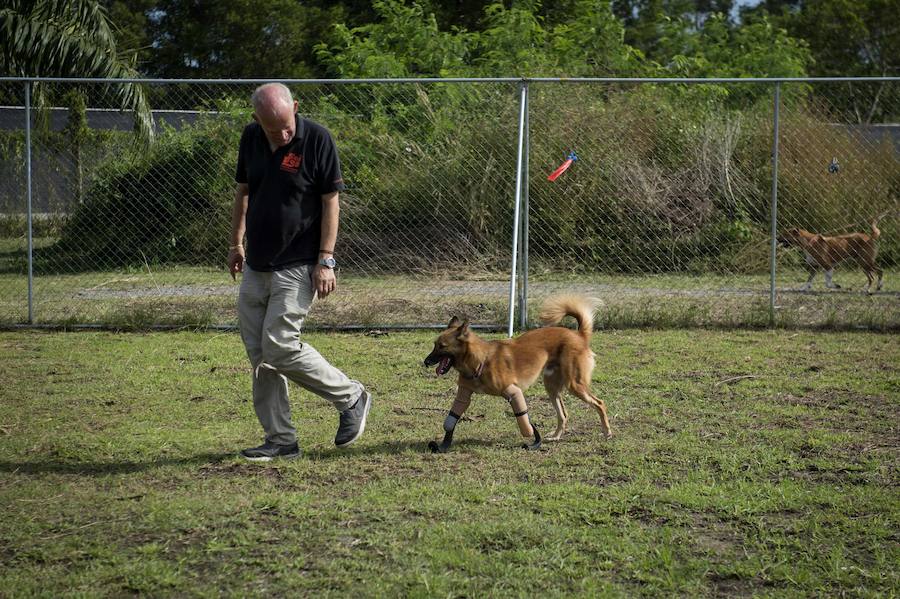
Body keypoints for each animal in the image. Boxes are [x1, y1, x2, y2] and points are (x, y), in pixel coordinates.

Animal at [424, 292, 612, 452]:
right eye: (434, 345)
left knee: (600, 403)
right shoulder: (464, 391)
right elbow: (452, 417)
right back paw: (556, 437)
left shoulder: (512, 390)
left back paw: (607, 433)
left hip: (575, 384)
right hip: (552, 387)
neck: (479, 361)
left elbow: (523, 418)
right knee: (563, 415)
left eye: (442, 346)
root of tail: (579, 335)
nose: (425, 362)